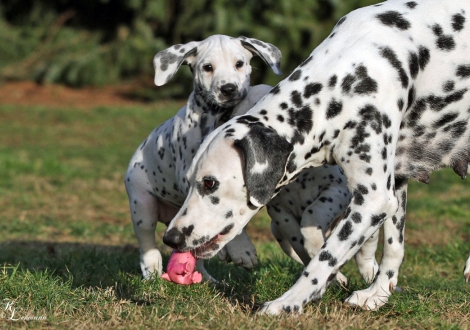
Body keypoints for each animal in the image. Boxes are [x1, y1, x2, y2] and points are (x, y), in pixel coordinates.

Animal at [125, 34, 282, 280]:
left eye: (239, 63)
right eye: (208, 67)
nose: (228, 88)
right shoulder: (190, 175)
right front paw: (241, 249)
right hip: (142, 205)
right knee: (147, 243)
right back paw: (152, 271)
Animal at [161, 0, 470, 314]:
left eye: (210, 183)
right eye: (189, 181)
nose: (170, 238)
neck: (346, 79)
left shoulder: (372, 200)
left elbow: (323, 259)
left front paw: (288, 303)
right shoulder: (395, 184)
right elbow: (394, 248)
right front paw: (378, 294)